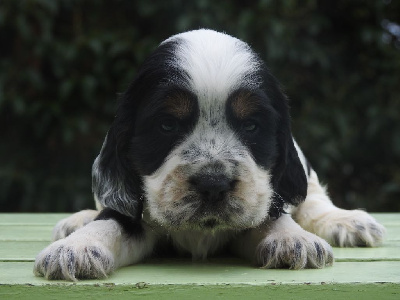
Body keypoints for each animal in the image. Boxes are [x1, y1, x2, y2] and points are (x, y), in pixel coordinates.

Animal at [33, 29, 384, 280]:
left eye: (252, 125)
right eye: (167, 124)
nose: (214, 185)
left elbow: (273, 213)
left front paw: (292, 239)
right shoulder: (136, 208)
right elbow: (111, 220)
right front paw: (76, 247)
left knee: (311, 198)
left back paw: (347, 222)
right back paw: (76, 222)